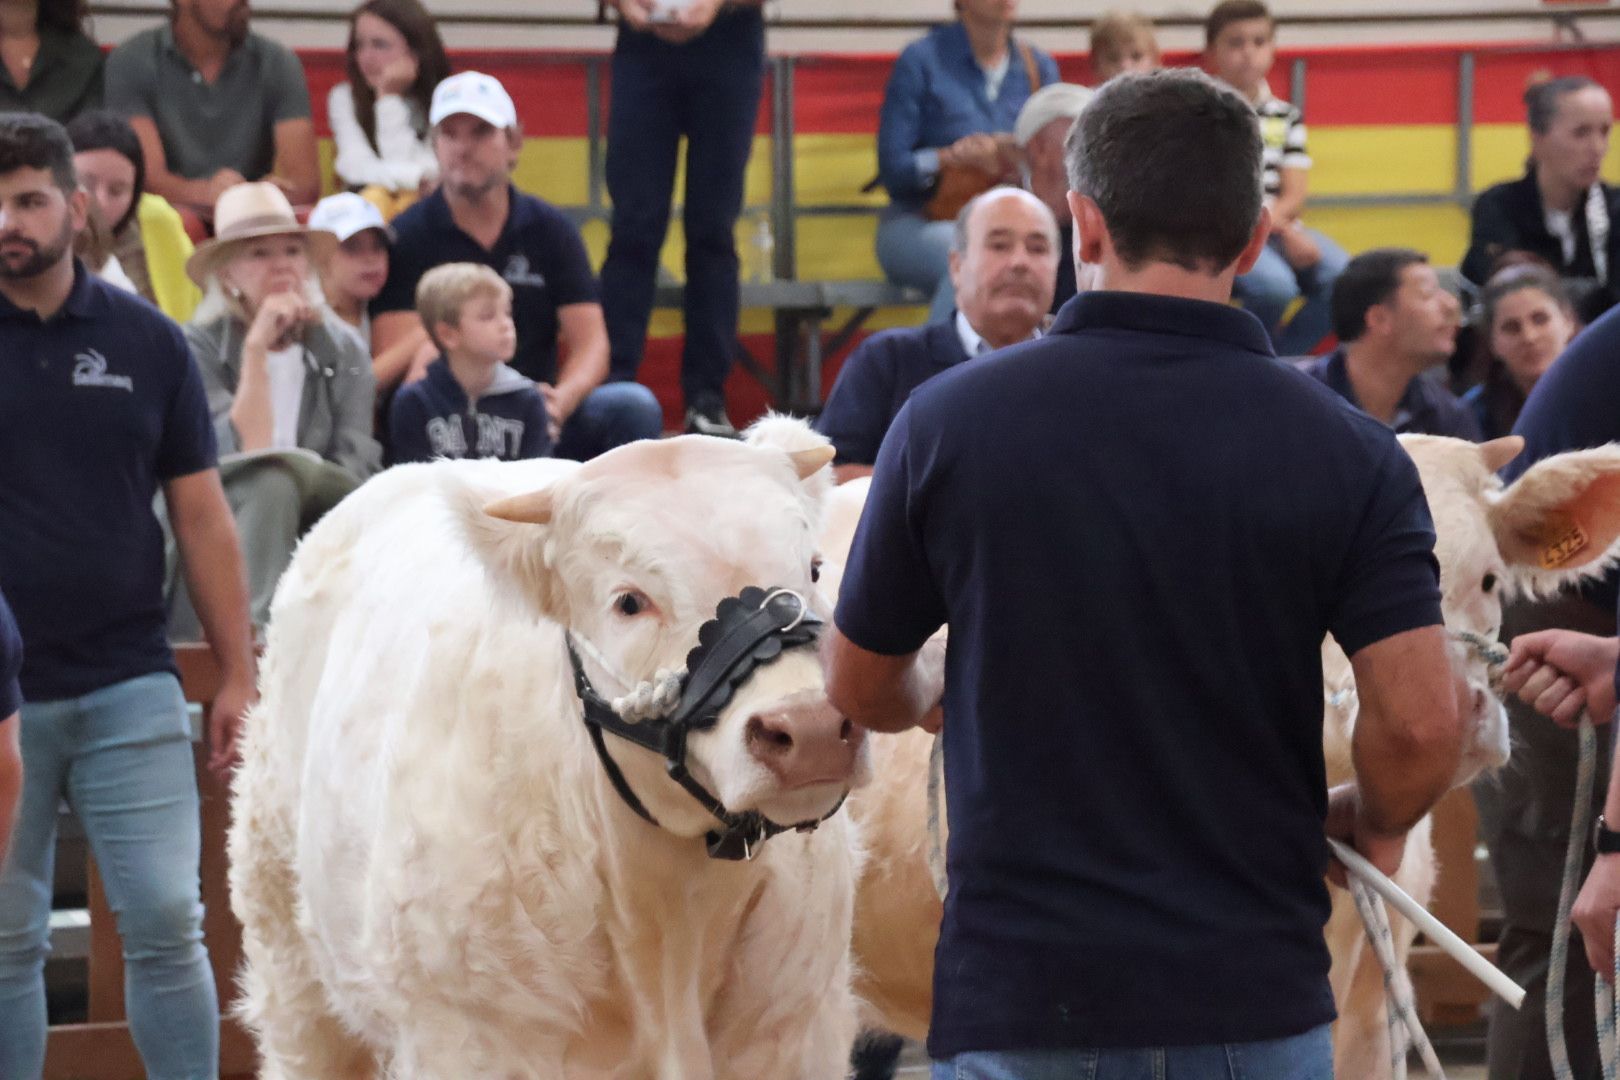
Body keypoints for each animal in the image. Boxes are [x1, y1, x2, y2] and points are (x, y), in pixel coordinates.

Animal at [230, 420, 874, 1080]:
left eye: (814, 569)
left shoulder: (796, 1033)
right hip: (287, 951)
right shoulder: (470, 1041)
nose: (811, 729)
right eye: (629, 601)